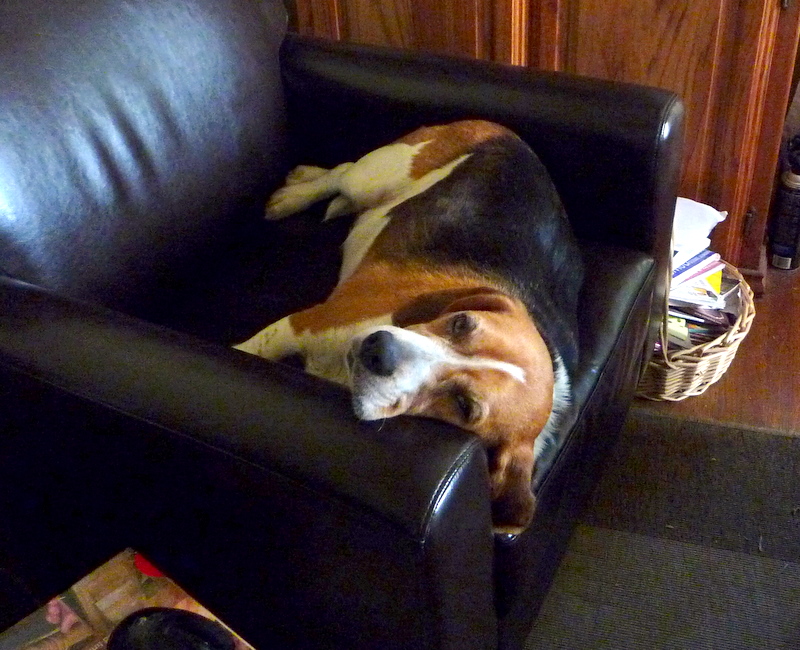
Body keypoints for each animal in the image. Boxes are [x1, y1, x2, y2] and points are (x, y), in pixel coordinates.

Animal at [235, 120, 583, 534]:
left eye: (465, 407)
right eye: (462, 322)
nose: (378, 349)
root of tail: (511, 135)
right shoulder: (301, 324)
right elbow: (244, 351)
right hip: (377, 174)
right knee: (343, 173)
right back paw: (295, 192)